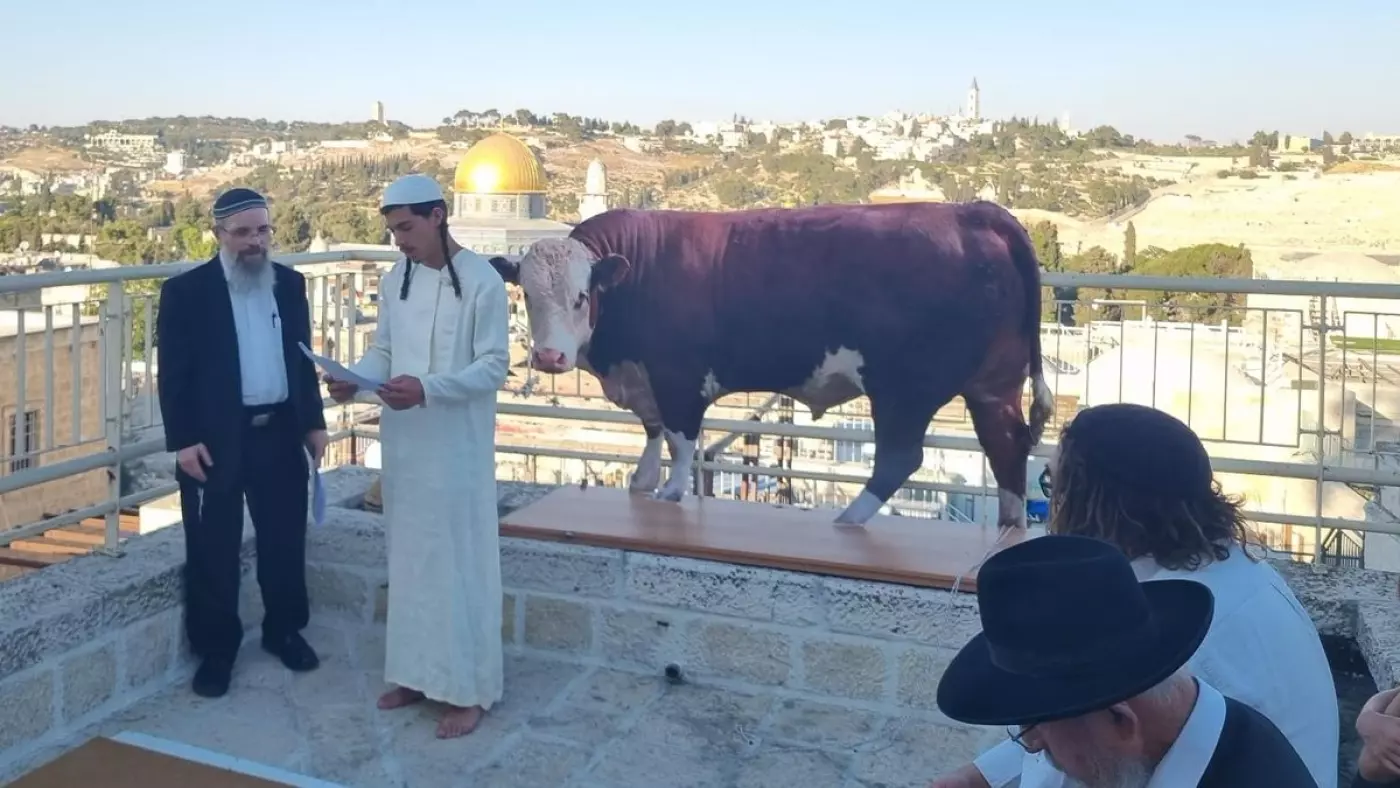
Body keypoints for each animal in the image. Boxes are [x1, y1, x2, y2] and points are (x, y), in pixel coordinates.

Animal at [490, 200, 1052, 526]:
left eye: (582, 297)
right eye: (528, 296)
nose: (549, 356)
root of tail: (974, 212)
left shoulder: (679, 379)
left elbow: (680, 441)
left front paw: (669, 492)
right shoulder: (645, 382)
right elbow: (652, 438)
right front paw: (644, 484)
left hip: (905, 388)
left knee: (901, 458)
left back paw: (849, 520)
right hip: (993, 385)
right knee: (1007, 447)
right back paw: (1009, 527)